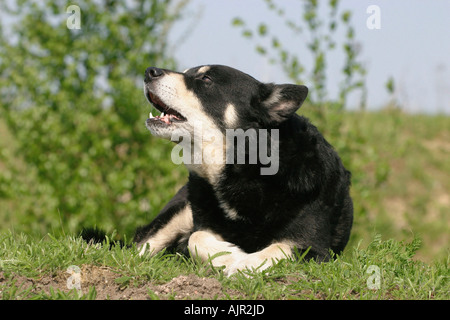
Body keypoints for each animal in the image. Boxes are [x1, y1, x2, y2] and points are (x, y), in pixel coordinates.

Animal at [135, 64, 354, 276]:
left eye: (206, 79)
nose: (149, 71)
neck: (247, 169)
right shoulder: (201, 226)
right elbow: (195, 237)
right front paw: (231, 256)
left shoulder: (313, 247)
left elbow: (279, 247)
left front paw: (246, 264)